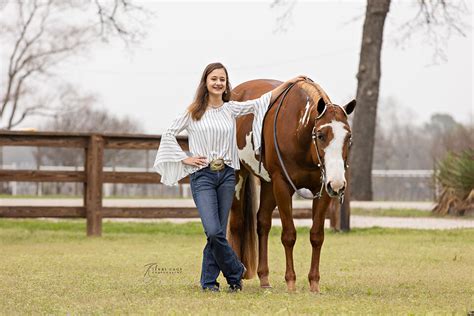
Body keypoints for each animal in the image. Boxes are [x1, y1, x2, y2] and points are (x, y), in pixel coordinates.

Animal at [227, 78, 356, 292]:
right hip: (239, 176)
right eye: (321, 135)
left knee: (262, 223)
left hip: (268, 184)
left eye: (348, 137)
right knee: (237, 223)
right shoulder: (282, 185)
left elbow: (317, 235)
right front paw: (291, 282)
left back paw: (264, 279)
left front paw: (314, 283)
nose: (338, 183)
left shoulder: (323, 190)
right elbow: (289, 235)